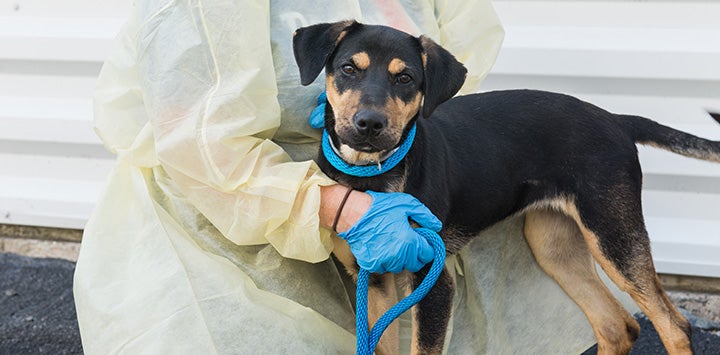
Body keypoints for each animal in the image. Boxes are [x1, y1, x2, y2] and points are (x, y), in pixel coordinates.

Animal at [292, 21, 716, 355]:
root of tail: (616, 118)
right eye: (349, 68)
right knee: (617, 326)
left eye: (405, 78)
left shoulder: (433, 281)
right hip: (553, 245)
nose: (369, 124)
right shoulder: (374, 281)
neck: (371, 175)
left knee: (674, 327)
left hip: (614, 235)